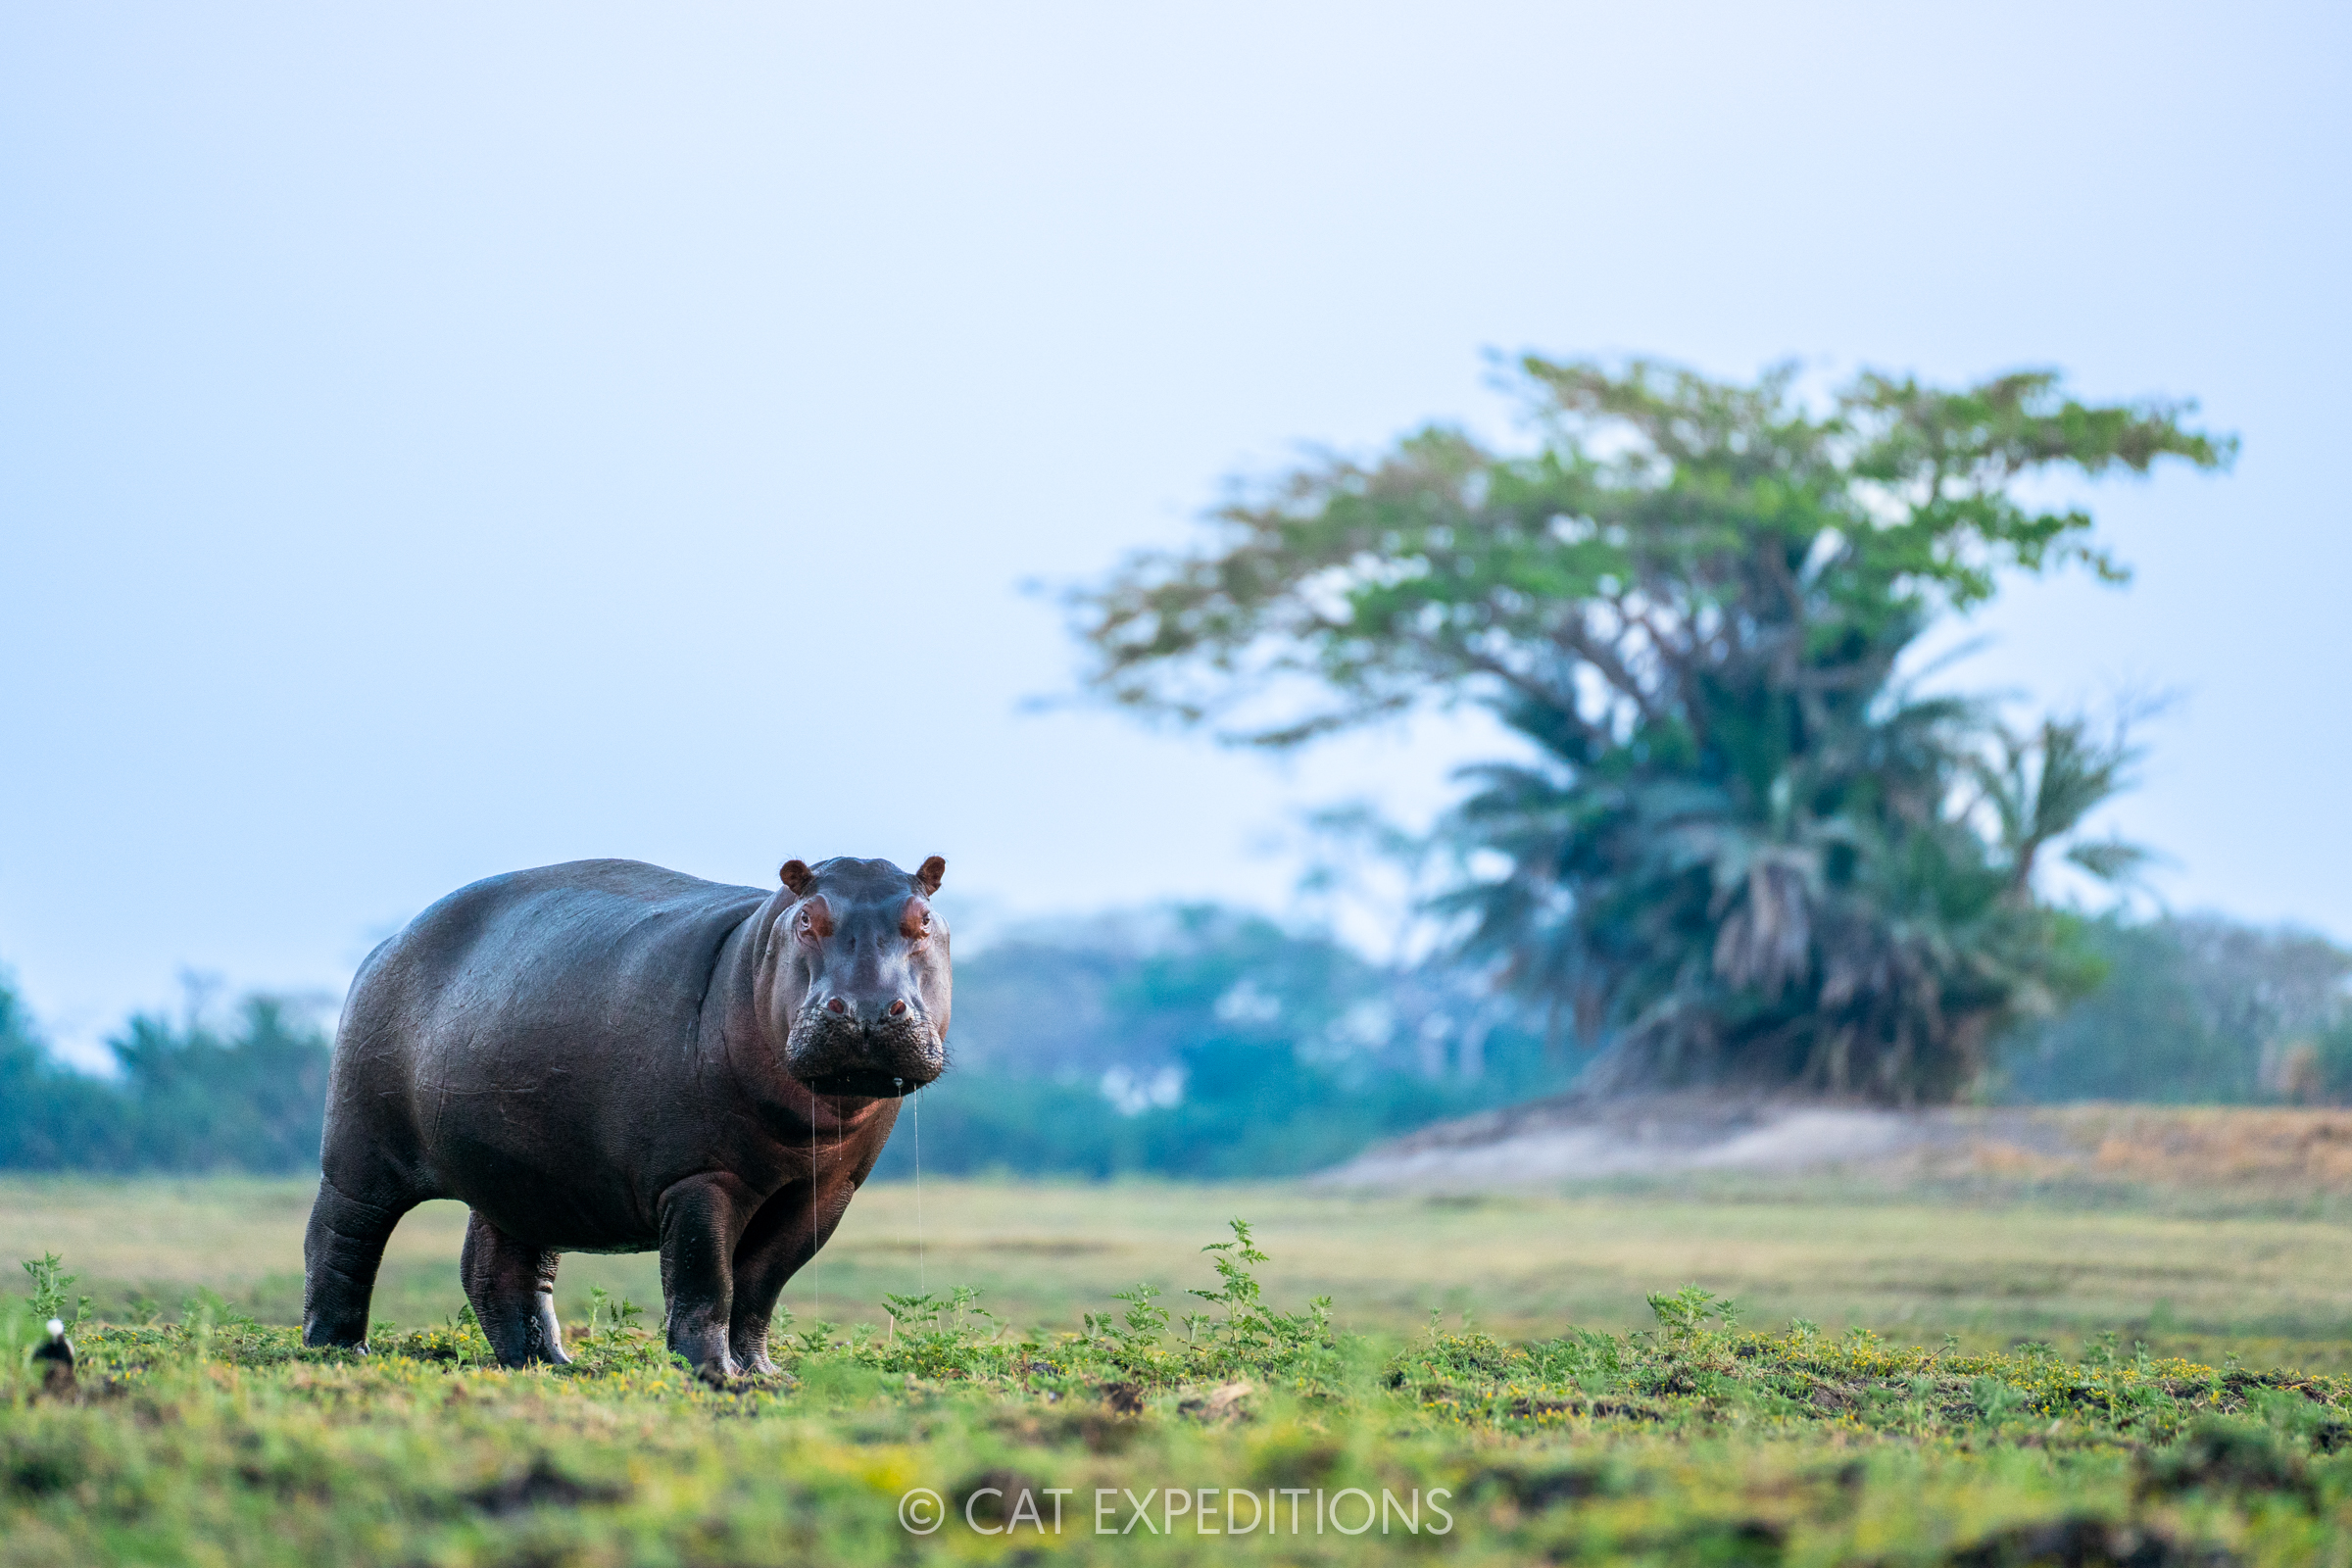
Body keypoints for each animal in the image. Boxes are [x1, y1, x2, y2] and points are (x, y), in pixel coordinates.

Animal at [301, 854, 949, 1381]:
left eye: (923, 920)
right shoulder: (699, 1177)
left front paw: (766, 1374)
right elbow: (706, 1277)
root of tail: (392, 940)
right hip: (362, 1147)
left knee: (497, 1266)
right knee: (343, 1234)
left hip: (526, 1175)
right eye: (807, 920)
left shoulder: (826, 1187)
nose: (866, 1010)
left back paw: (549, 1364)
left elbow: (761, 1284)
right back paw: (337, 1351)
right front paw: (716, 1375)